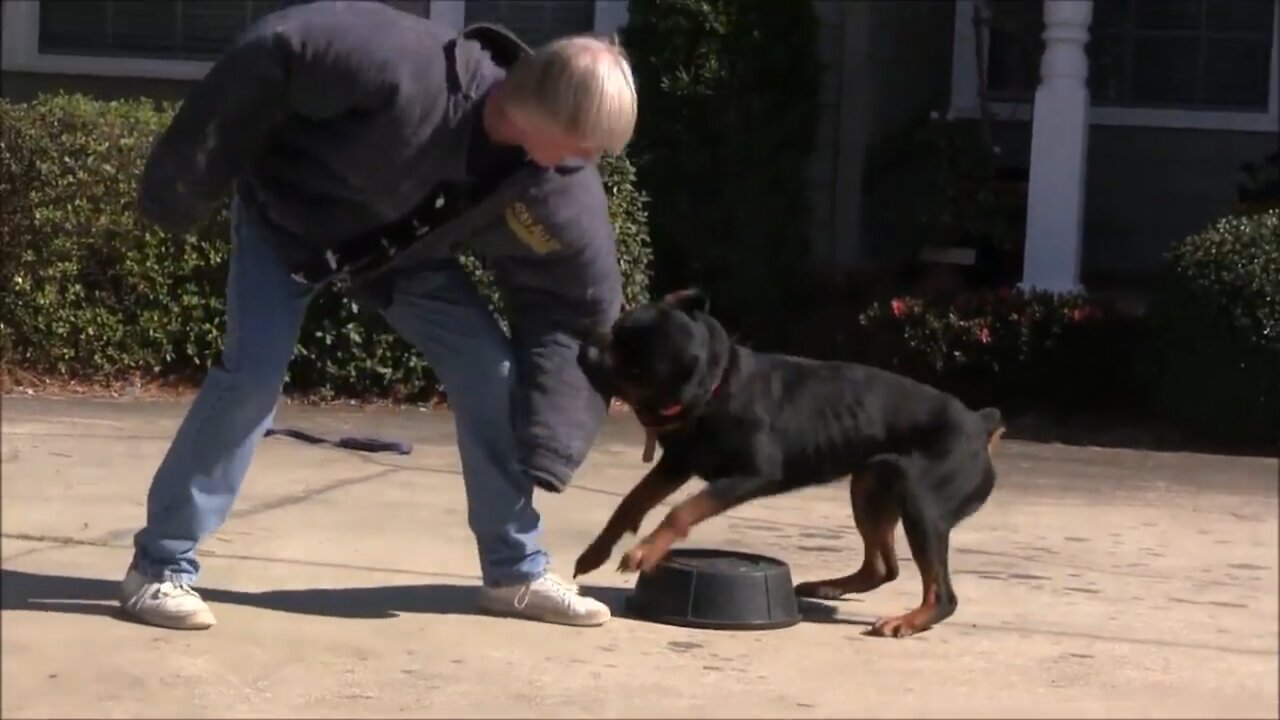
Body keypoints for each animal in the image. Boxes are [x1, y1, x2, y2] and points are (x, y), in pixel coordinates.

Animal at [576, 285, 1003, 632]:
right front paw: (596, 550)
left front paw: (644, 552)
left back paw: (909, 621)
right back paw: (830, 586)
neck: (716, 386)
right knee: (883, 566)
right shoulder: (678, 463)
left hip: (923, 502)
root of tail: (979, 424)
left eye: (631, 365)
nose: (587, 348)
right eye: (615, 333)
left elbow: (681, 512)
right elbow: (632, 501)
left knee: (942, 594)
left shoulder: (750, 475)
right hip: (870, 486)